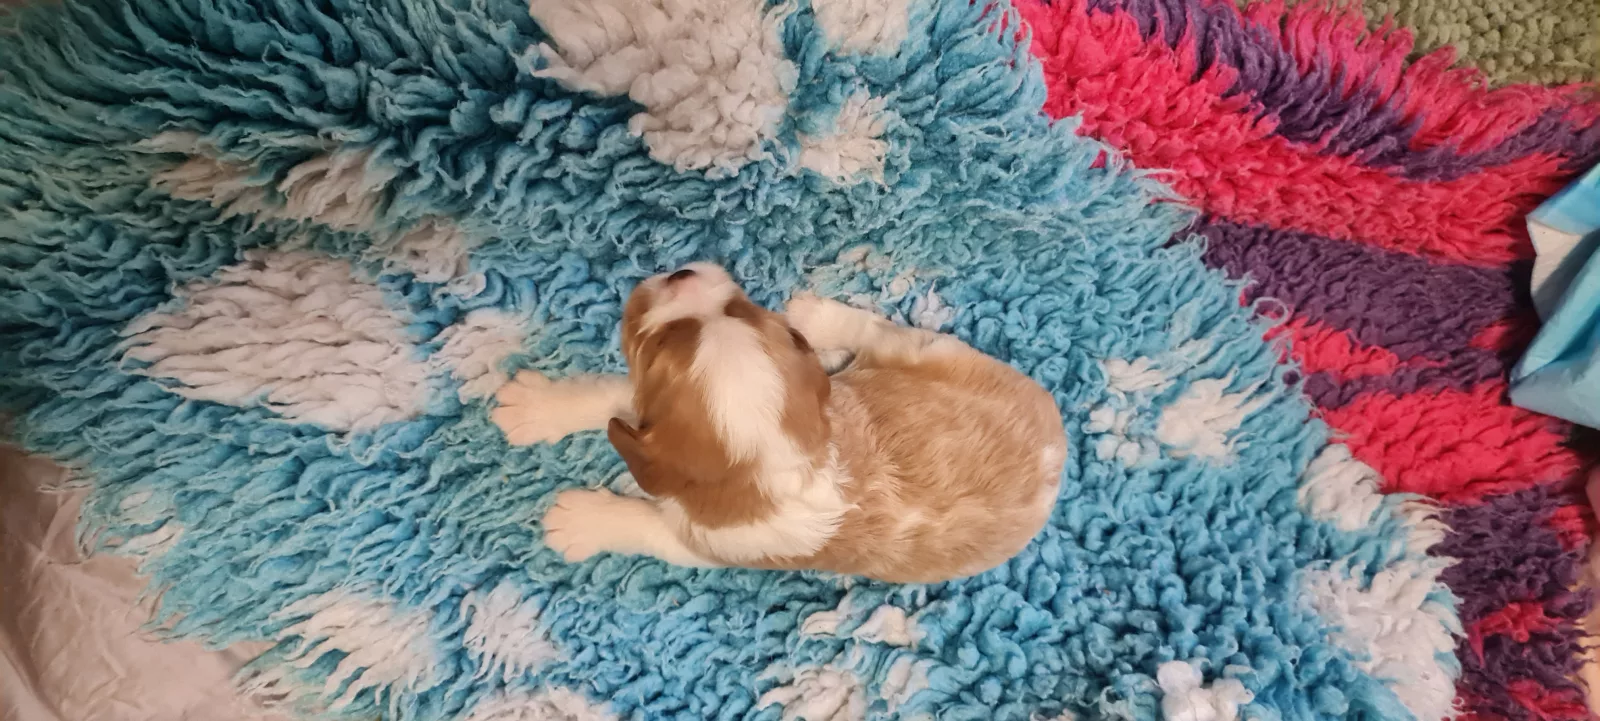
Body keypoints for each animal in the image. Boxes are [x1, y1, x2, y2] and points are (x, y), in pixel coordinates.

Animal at [492, 263, 1066, 583]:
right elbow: (611, 398)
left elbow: (644, 522)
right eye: (739, 310)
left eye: (655, 343)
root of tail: (1059, 446)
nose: (679, 275)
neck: (770, 467)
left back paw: (819, 317)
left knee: (875, 330)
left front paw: (580, 520)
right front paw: (535, 408)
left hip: (926, 349)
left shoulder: (712, 546)